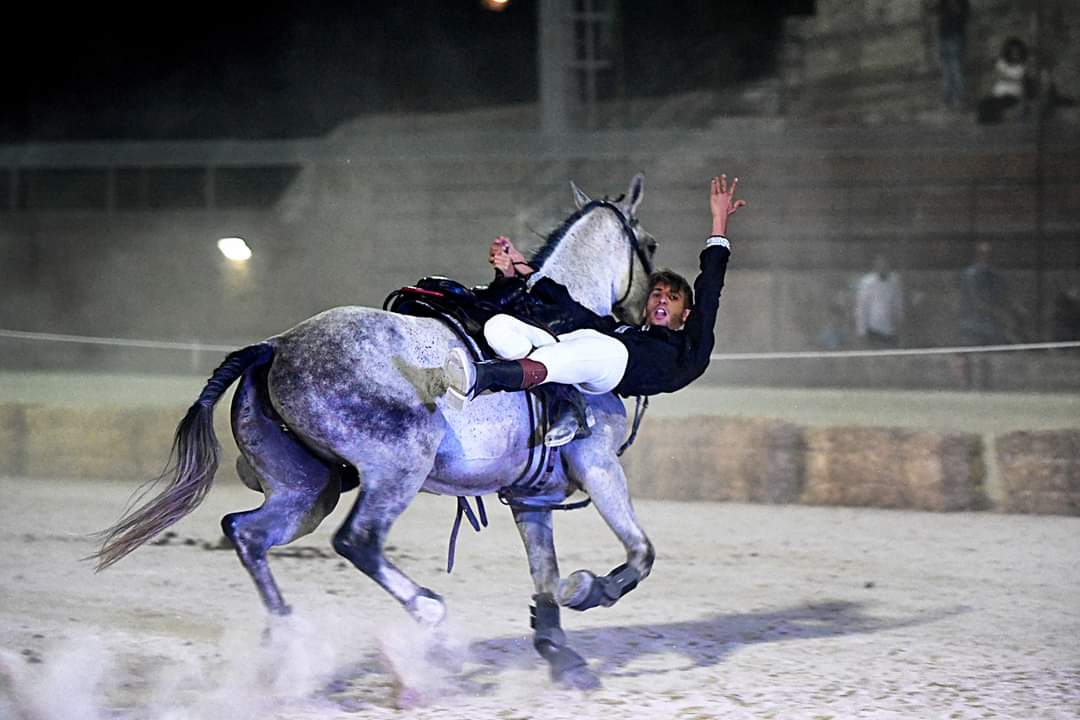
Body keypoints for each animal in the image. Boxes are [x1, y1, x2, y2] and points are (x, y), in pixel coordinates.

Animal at [95, 174, 656, 690]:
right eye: (648, 246)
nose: (643, 316)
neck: (558, 316)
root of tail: (275, 346)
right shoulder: (599, 466)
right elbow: (639, 554)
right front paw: (590, 590)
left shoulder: (531, 498)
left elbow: (545, 574)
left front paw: (560, 653)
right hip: (398, 469)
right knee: (357, 541)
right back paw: (427, 613)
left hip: (306, 492)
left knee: (246, 532)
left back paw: (289, 641)